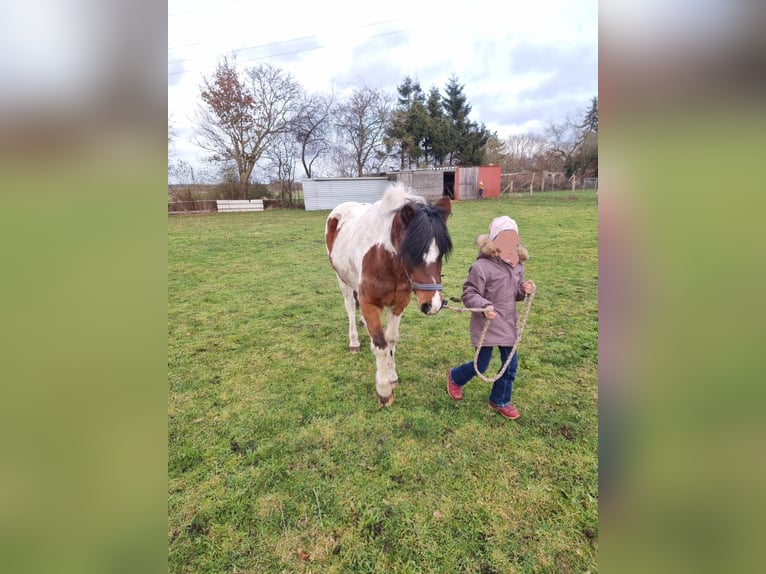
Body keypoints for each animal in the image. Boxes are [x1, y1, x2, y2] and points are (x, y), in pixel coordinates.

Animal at [325, 182, 453, 405]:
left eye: (442, 253)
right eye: (411, 251)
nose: (433, 305)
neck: (385, 259)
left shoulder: (399, 304)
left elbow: (391, 340)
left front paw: (392, 376)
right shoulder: (370, 303)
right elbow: (381, 344)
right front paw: (384, 390)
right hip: (342, 280)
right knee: (350, 308)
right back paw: (354, 342)